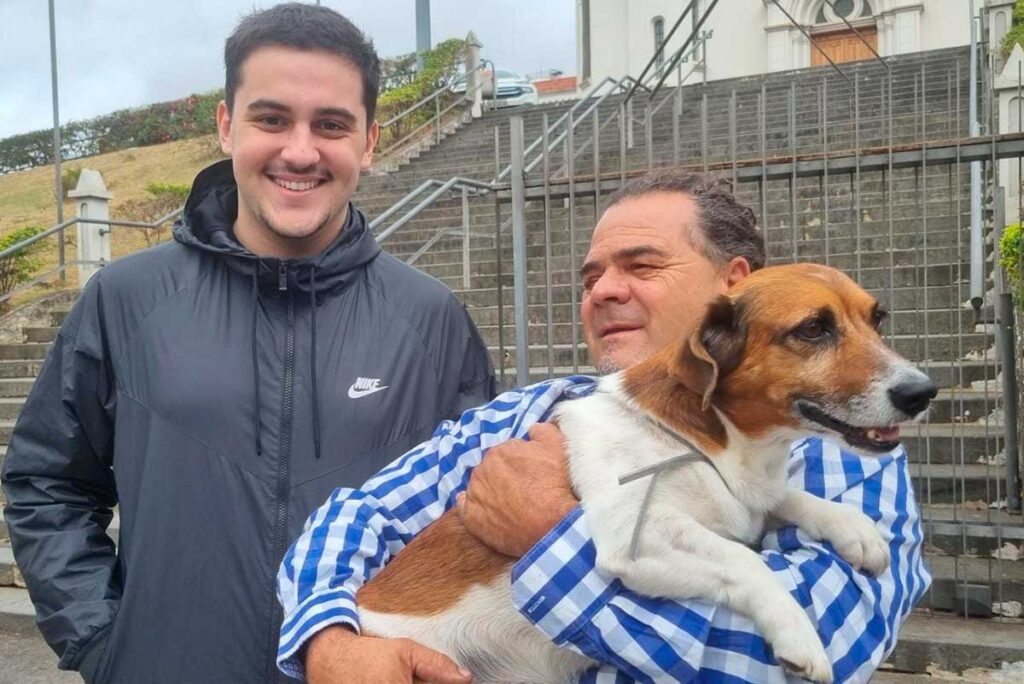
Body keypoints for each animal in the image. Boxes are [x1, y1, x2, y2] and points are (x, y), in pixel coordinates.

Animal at [352, 264, 937, 684]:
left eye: (877, 319)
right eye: (814, 328)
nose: (922, 392)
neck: (711, 441)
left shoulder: (746, 497)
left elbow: (788, 498)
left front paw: (854, 528)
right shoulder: (638, 533)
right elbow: (748, 563)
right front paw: (799, 634)